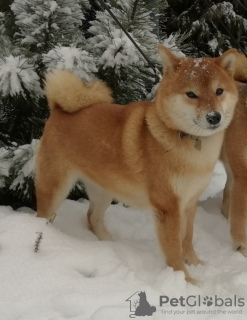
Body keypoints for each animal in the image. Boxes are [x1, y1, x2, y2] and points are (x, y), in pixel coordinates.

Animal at [35, 45, 238, 282]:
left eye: (219, 91)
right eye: (191, 94)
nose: (214, 117)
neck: (188, 142)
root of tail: (58, 109)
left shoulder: (189, 202)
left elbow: (187, 238)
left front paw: (196, 264)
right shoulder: (168, 208)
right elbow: (174, 248)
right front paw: (185, 280)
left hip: (104, 189)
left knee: (92, 217)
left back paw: (111, 245)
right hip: (55, 188)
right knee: (44, 215)